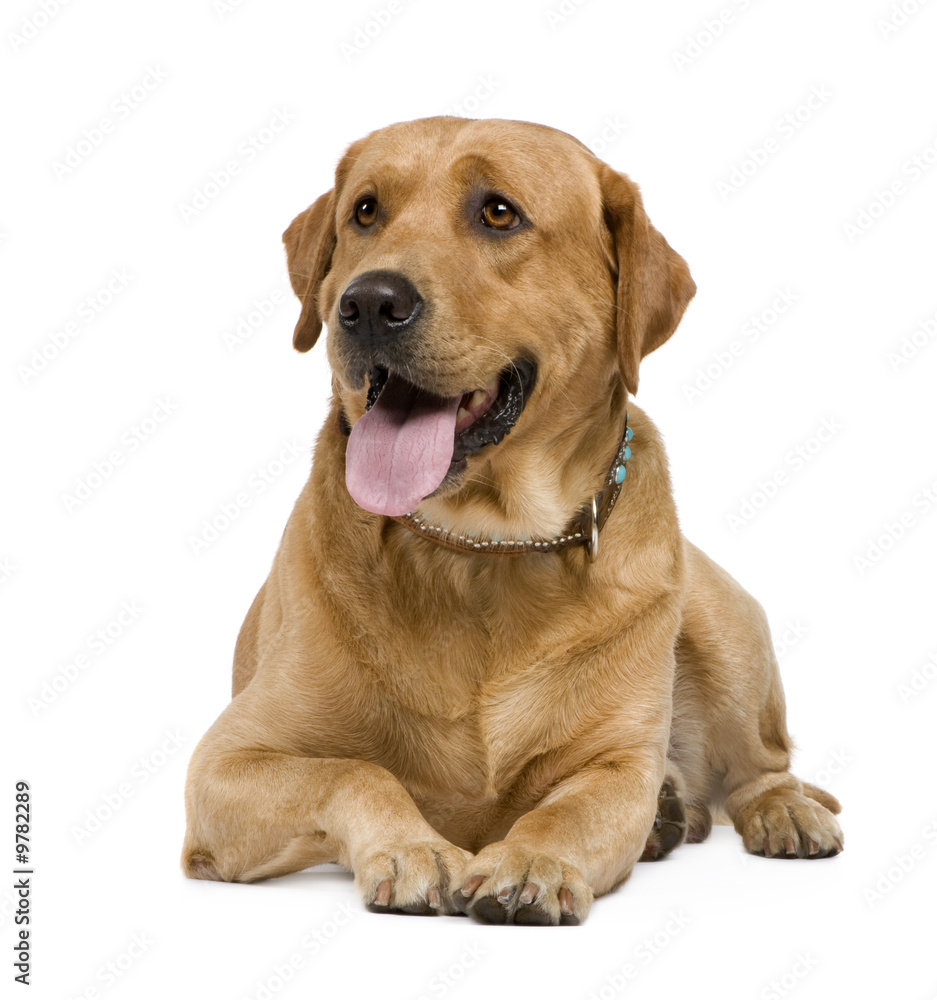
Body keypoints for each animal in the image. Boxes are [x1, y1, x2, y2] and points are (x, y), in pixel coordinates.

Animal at [181, 115, 840, 920]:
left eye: (499, 213)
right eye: (365, 212)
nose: (367, 303)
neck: (480, 546)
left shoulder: (617, 765)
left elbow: (569, 809)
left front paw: (533, 862)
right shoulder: (226, 762)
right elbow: (354, 771)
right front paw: (413, 846)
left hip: (724, 627)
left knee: (762, 764)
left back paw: (780, 811)